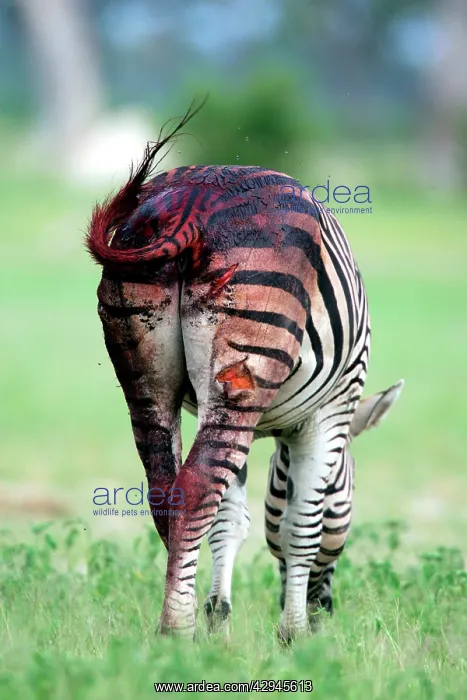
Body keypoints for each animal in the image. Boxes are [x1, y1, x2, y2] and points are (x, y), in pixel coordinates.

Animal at [86, 105, 403, 641]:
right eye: (348, 496)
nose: (325, 612)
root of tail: (195, 197)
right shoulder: (331, 411)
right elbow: (300, 527)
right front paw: (292, 634)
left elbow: (230, 519)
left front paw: (219, 622)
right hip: (246, 372)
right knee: (195, 490)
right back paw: (177, 630)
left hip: (147, 381)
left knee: (167, 490)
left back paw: (181, 622)